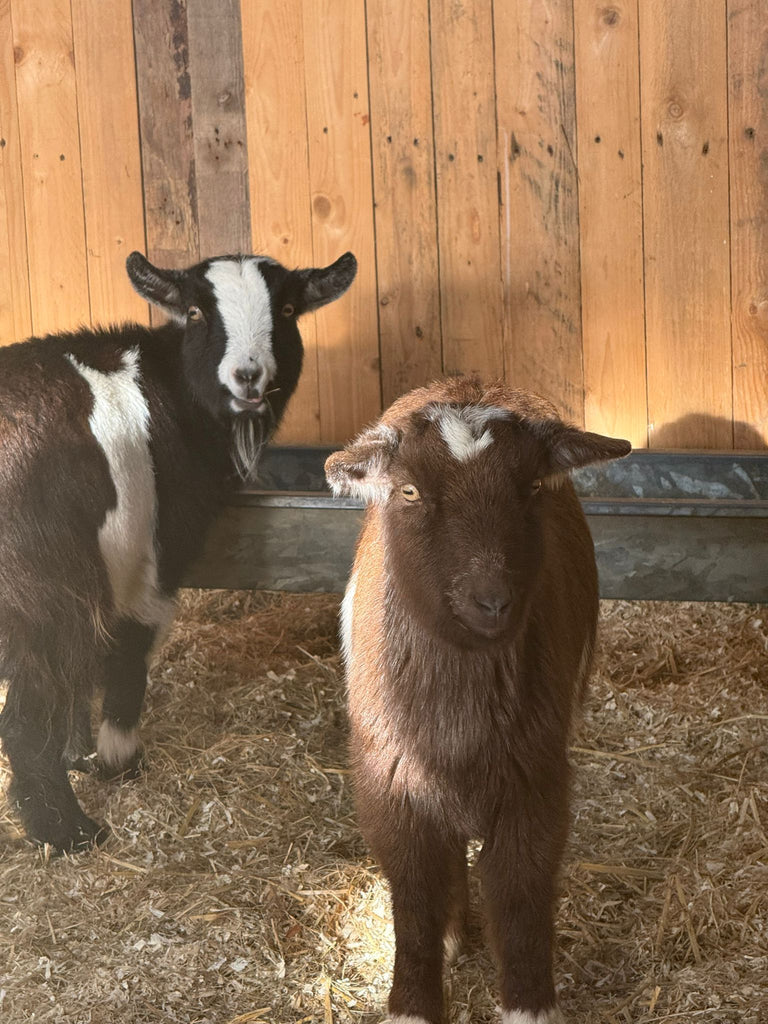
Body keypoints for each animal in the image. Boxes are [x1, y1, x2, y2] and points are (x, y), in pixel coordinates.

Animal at [0, 245, 354, 847]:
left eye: (286, 309)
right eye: (194, 312)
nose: (248, 376)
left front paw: (81, 753)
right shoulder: (148, 559)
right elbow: (127, 651)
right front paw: (119, 760)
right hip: (42, 591)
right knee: (26, 716)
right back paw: (70, 832)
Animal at [325, 380, 630, 1024]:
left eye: (534, 487)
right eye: (409, 490)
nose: (492, 601)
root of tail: (461, 383)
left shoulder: (535, 779)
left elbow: (519, 894)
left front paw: (529, 1005)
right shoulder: (390, 783)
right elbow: (414, 893)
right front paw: (414, 1002)